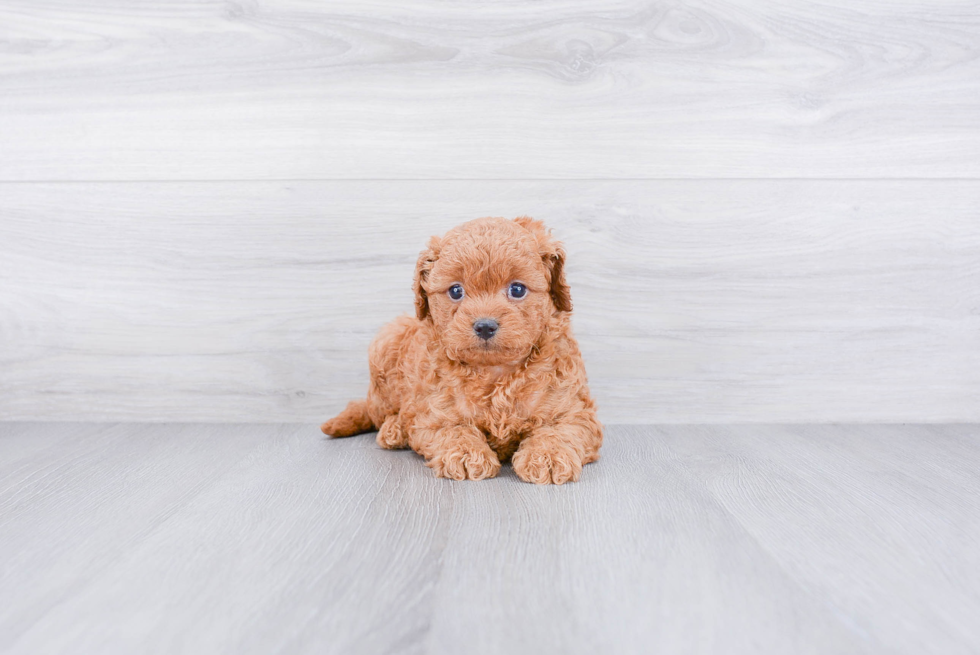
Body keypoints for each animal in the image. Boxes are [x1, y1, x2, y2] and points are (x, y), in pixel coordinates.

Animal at [322, 218, 600, 484]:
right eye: (456, 291)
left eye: (518, 289)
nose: (485, 326)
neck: (495, 371)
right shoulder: (434, 413)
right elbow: (454, 429)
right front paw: (467, 455)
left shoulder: (574, 411)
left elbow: (558, 430)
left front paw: (548, 456)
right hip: (386, 348)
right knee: (373, 411)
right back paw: (394, 429)